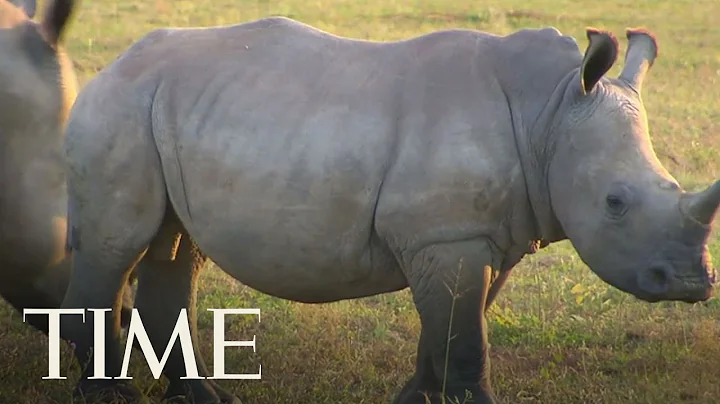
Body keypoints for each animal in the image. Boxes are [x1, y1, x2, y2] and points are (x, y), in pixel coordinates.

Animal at [58, 16, 719, 404]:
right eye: (615, 203)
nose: (692, 284)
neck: (551, 113)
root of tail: (111, 65)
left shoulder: (479, 236)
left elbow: (449, 331)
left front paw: (413, 400)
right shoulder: (447, 237)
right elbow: (464, 341)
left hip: (169, 110)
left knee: (177, 246)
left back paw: (204, 401)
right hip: (121, 106)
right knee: (116, 247)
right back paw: (110, 399)